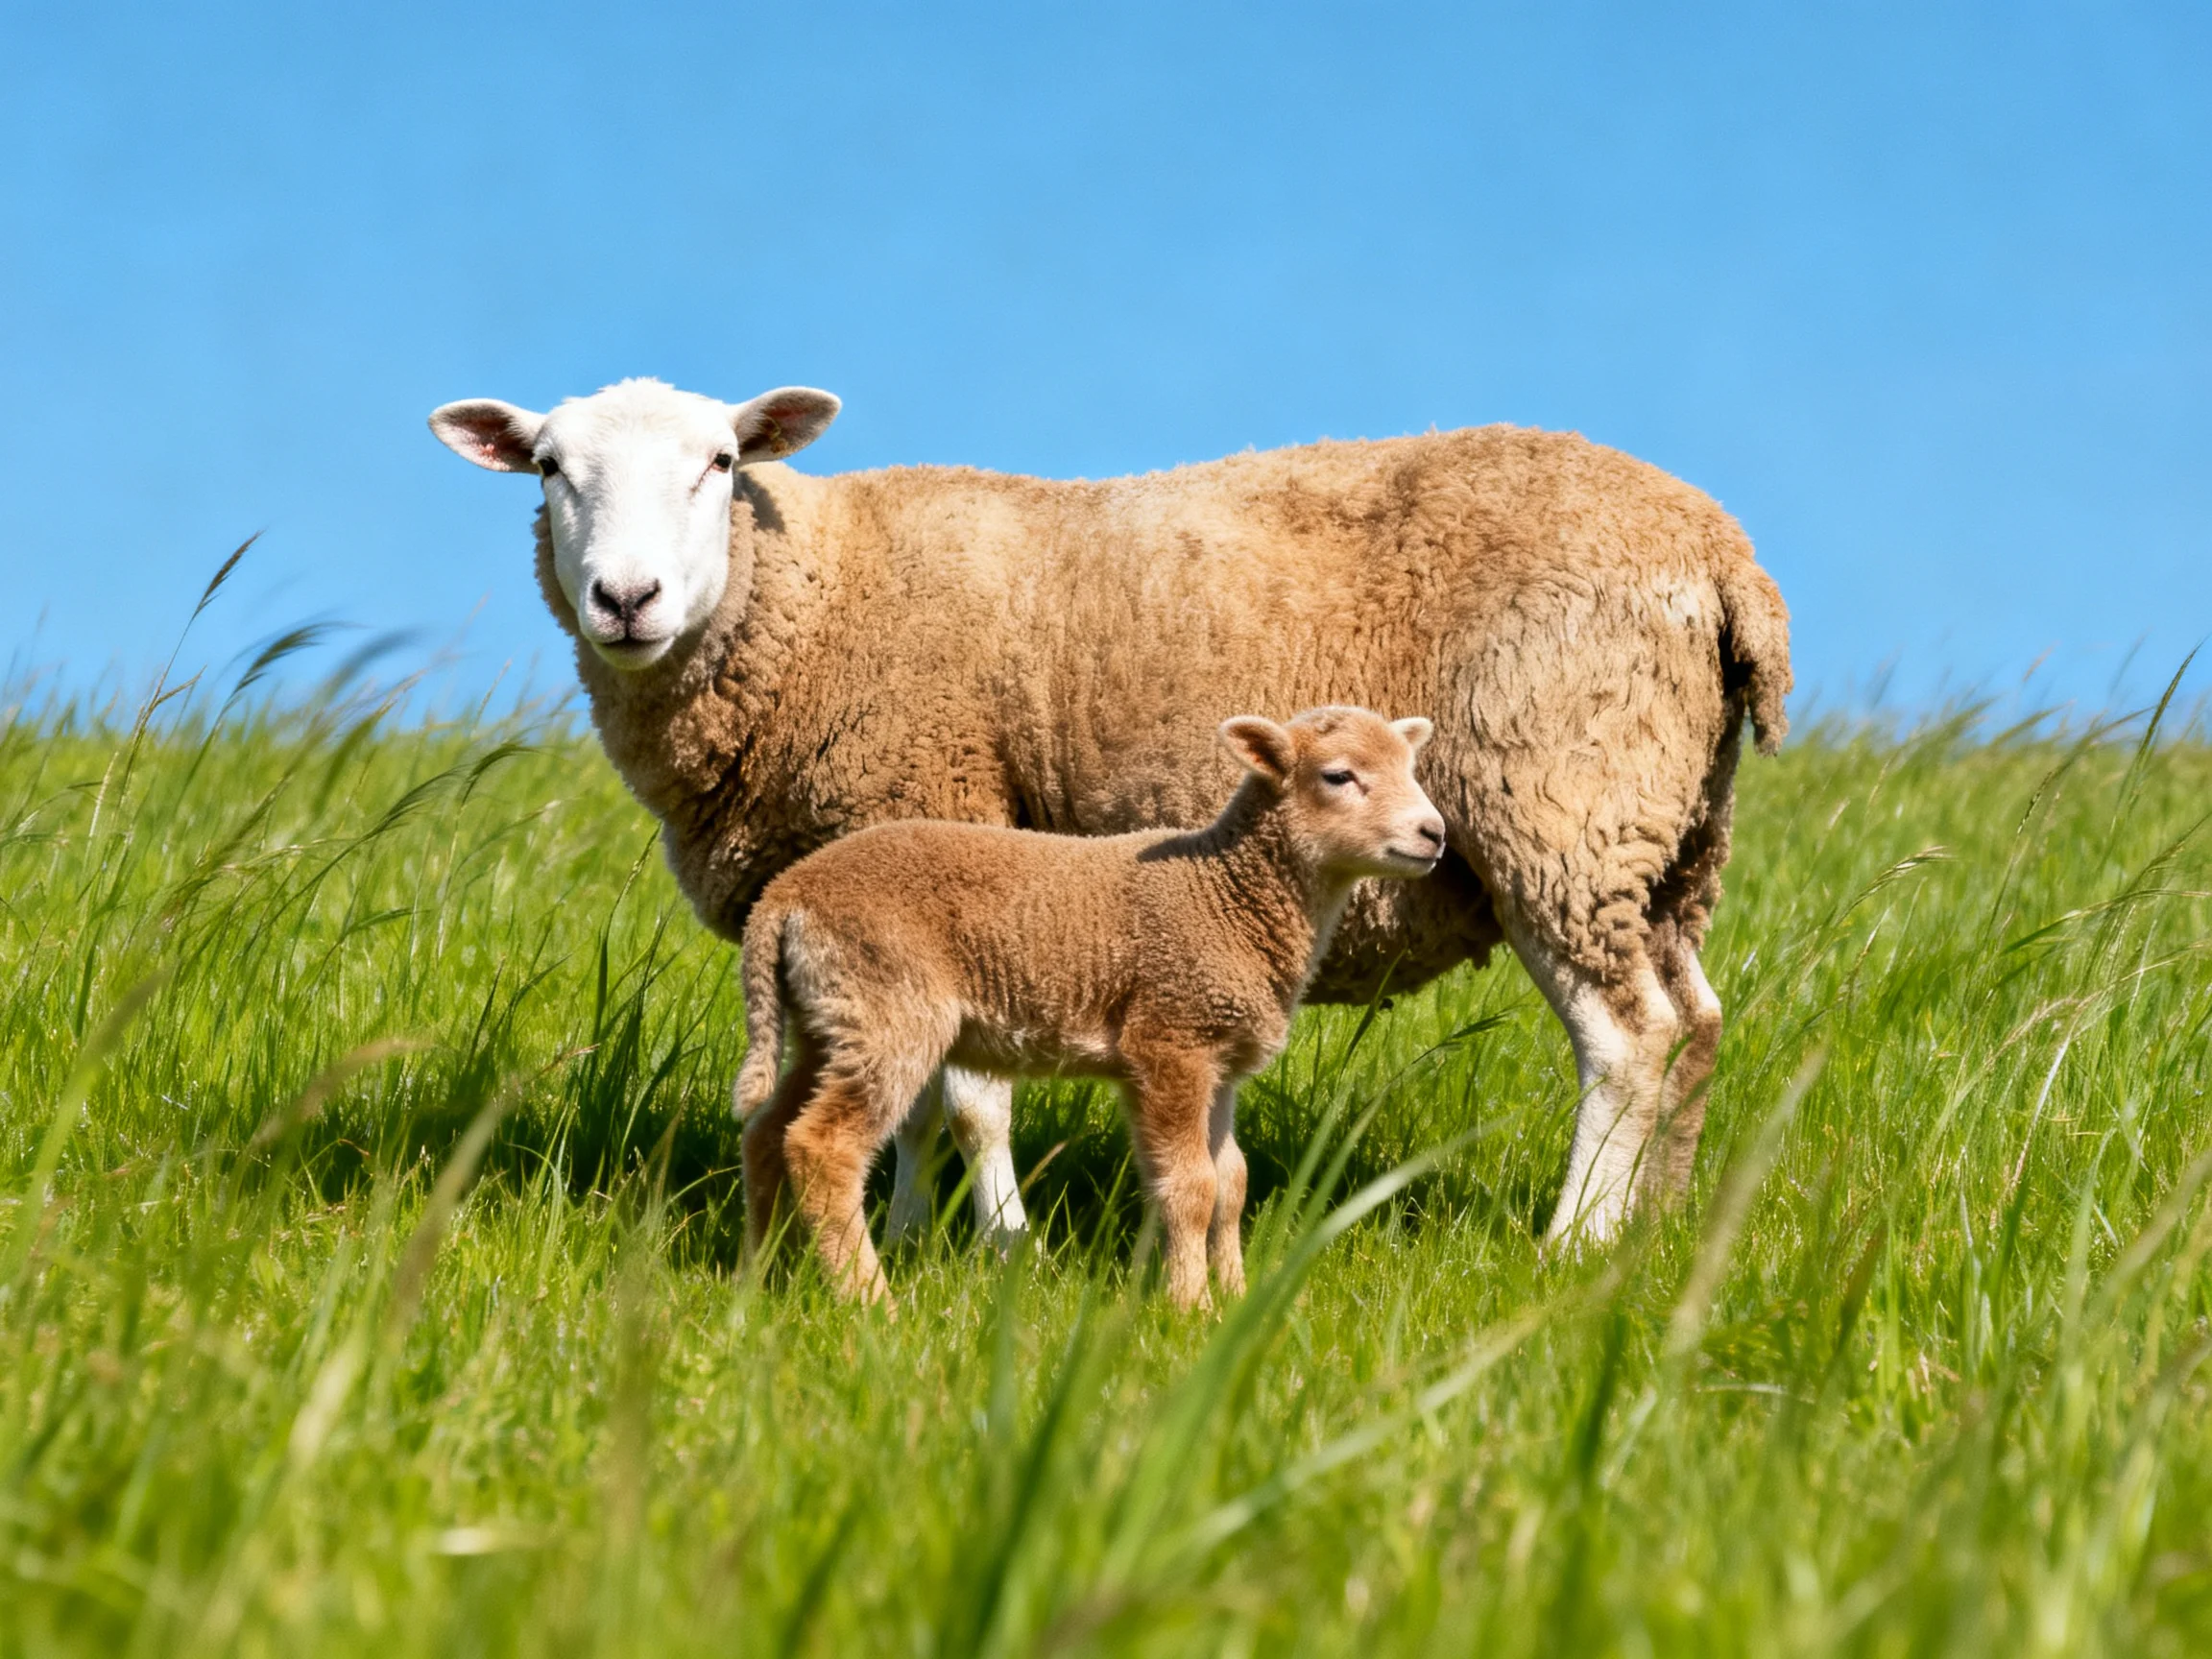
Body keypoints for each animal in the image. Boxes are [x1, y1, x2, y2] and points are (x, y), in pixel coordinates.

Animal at [428, 377, 1791, 1246]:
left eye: (721, 463)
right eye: (550, 469)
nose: (627, 598)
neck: (813, 592)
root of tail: (1728, 561)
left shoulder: (937, 804)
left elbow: (968, 1093)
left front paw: (997, 1245)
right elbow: (913, 1087)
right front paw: (909, 1229)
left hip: (1562, 799)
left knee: (1628, 1040)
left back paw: (1572, 1245)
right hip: (1670, 833)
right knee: (1698, 1022)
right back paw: (1659, 1231)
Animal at [735, 706, 1445, 1307]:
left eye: (1411, 768)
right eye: (1339, 775)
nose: (1434, 833)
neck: (1228, 896)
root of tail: (783, 899)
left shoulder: (1218, 1060)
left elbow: (1231, 1184)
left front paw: (1236, 1298)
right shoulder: (1170, 1039)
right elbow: (1191, 1187)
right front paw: (1190, 1308)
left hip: (828, 1017)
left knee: (768, 1132)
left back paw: (761, 1279)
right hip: (887, 1009)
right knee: (823, 1147)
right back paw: (868, 1302)